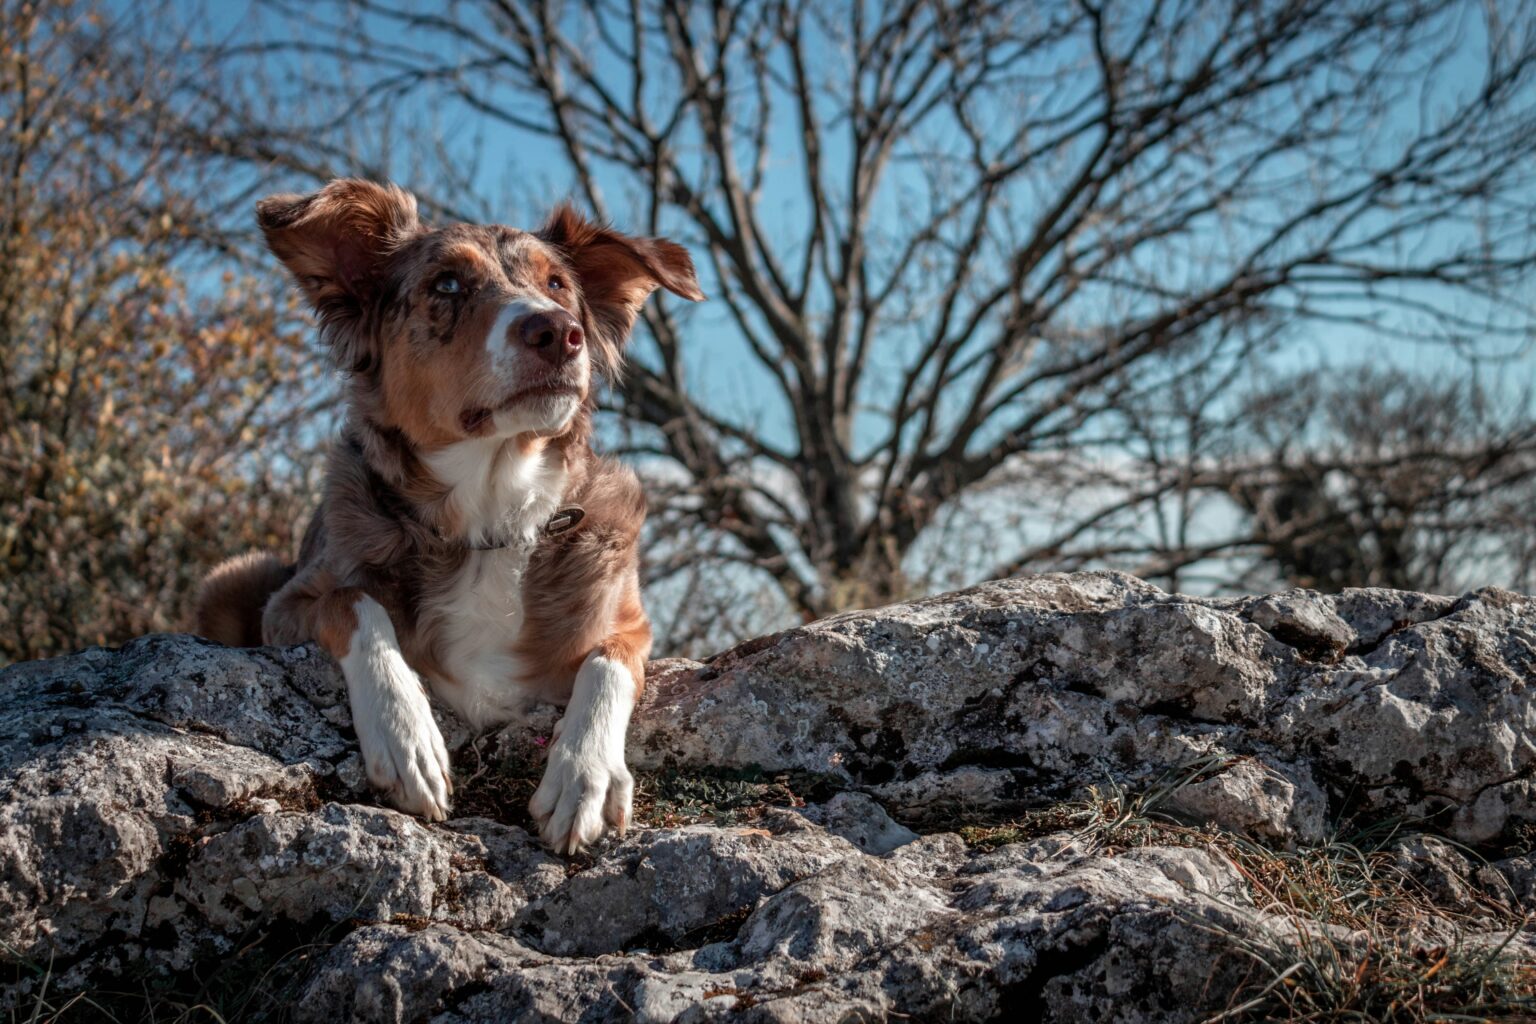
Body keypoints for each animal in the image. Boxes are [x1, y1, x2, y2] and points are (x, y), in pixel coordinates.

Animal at [195, 178, 703, 859]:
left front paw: (584, 774)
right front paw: (406, 735)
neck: (491, 518)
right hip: (231, 578)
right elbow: (352, 602)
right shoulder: (289, 604)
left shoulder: (630, 623)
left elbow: (607, 662)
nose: (559, 332)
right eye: (448, 284)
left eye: (557, 284)